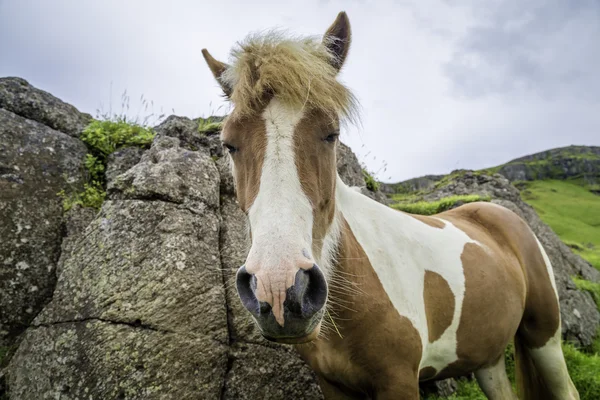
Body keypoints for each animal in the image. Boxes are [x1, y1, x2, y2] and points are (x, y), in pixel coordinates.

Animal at [203, 10, 580, 398]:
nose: (280, 289)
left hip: (544, 337)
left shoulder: (399, 381)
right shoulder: (332, 384)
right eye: (229, 143)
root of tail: (500, 214)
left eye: (331, 133)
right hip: (486, 359)